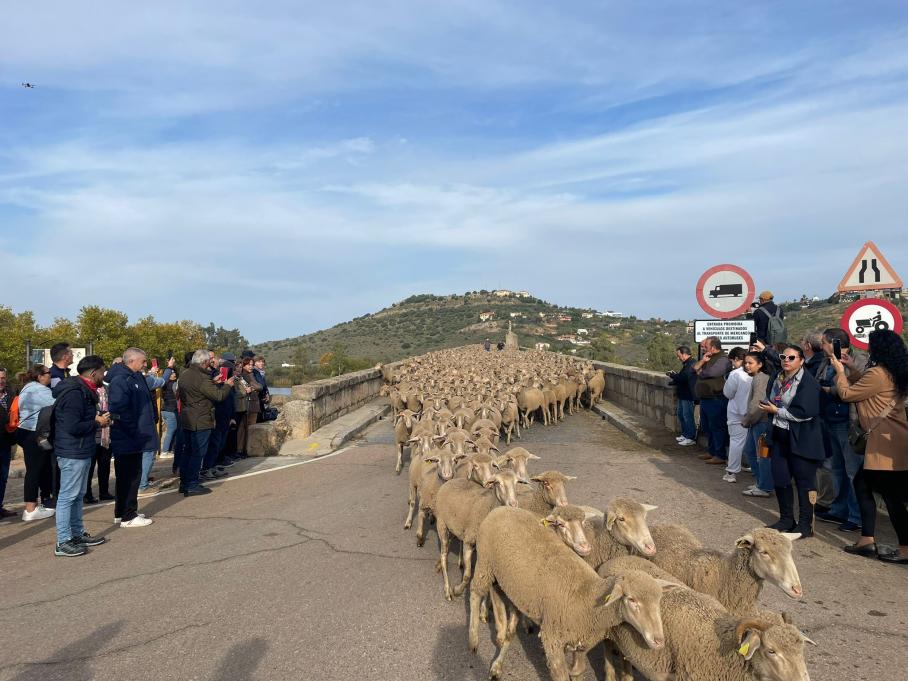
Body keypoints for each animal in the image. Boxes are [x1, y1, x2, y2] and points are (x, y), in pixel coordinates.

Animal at [468, 504, 672, 680]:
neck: (588, 596)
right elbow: (561, 675)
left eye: (658, 601)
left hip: (509, 583)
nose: (659, 641)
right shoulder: (552, 639)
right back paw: (473, 639)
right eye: (631, 600)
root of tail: (503, 508)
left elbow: (578, 671)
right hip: (485, 562)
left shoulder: (581, 643)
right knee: (475, 593)